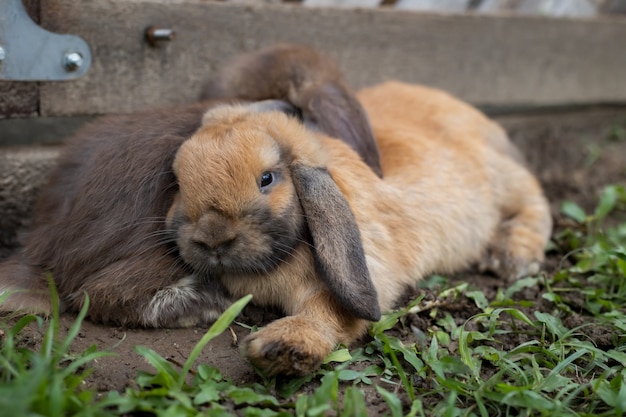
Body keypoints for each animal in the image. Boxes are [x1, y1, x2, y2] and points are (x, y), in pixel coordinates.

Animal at [167, 80, 552, 374]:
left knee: (536, 206)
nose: (213, 237)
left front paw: (281, 348)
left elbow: (325, 312)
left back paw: (512, 258)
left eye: (267, 179)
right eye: (179, 181)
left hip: (507, 181)